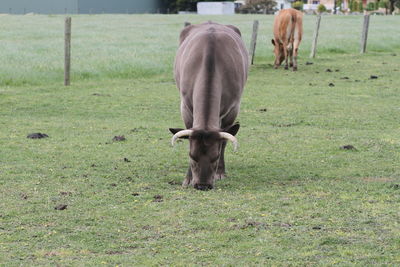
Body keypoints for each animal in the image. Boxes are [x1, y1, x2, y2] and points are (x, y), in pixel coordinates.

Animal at [170, 22, 250, 191]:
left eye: (216, 156)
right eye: (192, 156)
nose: (202, 185)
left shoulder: (233, 108)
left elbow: (224, 140)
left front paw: (220, 172)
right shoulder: (185, 107)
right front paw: (187, 179)